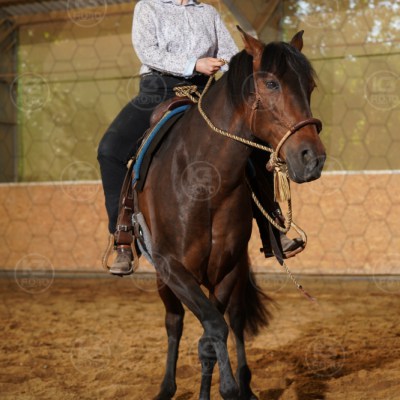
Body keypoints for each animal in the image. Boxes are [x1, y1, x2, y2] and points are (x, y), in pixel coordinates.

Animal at [137, 28, 326, 400]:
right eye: (272, 84)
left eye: (309, 85)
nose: (313, 158)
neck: (202, 180)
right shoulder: (172, 267)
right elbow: (211, 328)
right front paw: (223, 388)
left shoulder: (225, 268)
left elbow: (215, 335)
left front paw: (228, 388)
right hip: (164, 279)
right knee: (174, 322)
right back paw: (166, 387)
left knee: (235, 320)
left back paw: (246, 382)